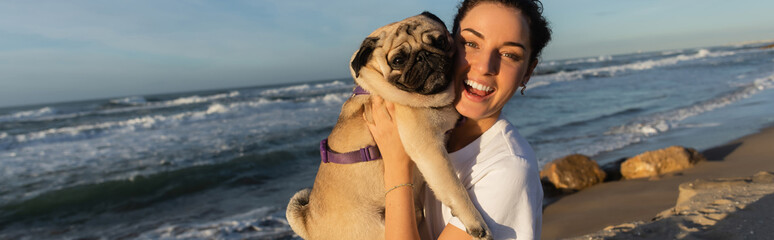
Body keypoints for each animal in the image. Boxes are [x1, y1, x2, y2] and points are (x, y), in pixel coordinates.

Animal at [284, 12, 492, 239]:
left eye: (440, 41)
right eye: (398, 60)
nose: (424, 56)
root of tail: (309, 222)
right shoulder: (429, 149)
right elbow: (455, 188)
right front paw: (476, 223)